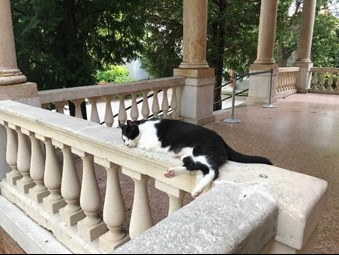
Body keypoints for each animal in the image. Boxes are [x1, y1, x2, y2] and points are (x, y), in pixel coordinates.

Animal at [119, 118, 270, 198]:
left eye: (128, 136)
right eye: (123, 139)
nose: (126, 145)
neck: (142, 127)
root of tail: (221, 140)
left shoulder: (149, 142)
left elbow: (142, 145)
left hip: (202, 152)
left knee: (212, 170)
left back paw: (197, 189)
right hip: (189, 156)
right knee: (193, 165)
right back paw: (172, 172)